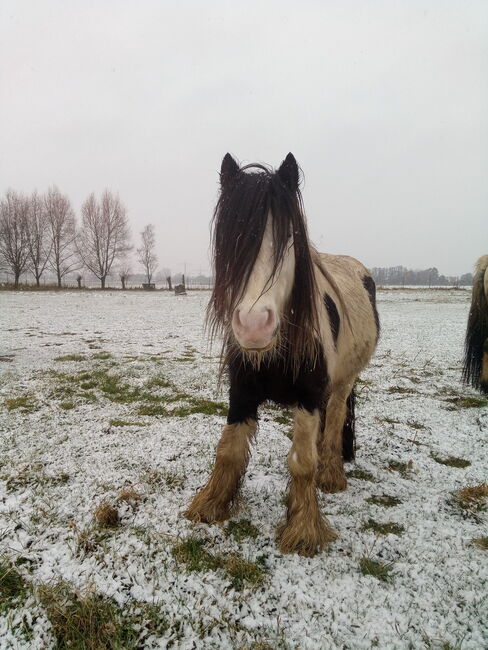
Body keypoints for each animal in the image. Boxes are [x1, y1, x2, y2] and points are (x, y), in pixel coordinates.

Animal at [185, 154, 380, 556]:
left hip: (343, 382)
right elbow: (228, 451)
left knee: (336, 421)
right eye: (231, 240)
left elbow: (302, 463)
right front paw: (210, 504)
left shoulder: (308, 399)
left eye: (289, 238)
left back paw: (331, 475)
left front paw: (304, 528)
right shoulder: (241, 394)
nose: (253, 325)